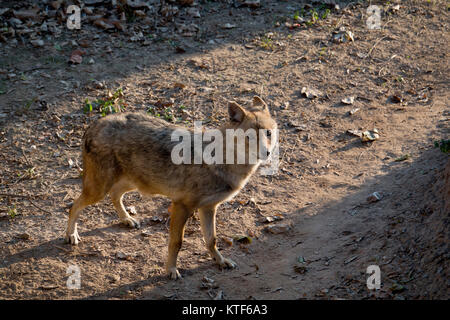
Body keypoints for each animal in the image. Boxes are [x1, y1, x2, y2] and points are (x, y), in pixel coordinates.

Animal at [65, 95, 278, 280]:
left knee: (115, 196)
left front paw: (221, 261)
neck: (222, 160)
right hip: (99, 190)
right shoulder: (181, 206)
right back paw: (71, 235)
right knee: (74, 205)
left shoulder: (208, 208)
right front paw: (171, 270)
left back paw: (127, 220)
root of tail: (94, 123)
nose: (266, 153)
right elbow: (176, 243)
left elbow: (211, 240)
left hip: (131, 184)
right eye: (249, 137)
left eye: (268, 133)